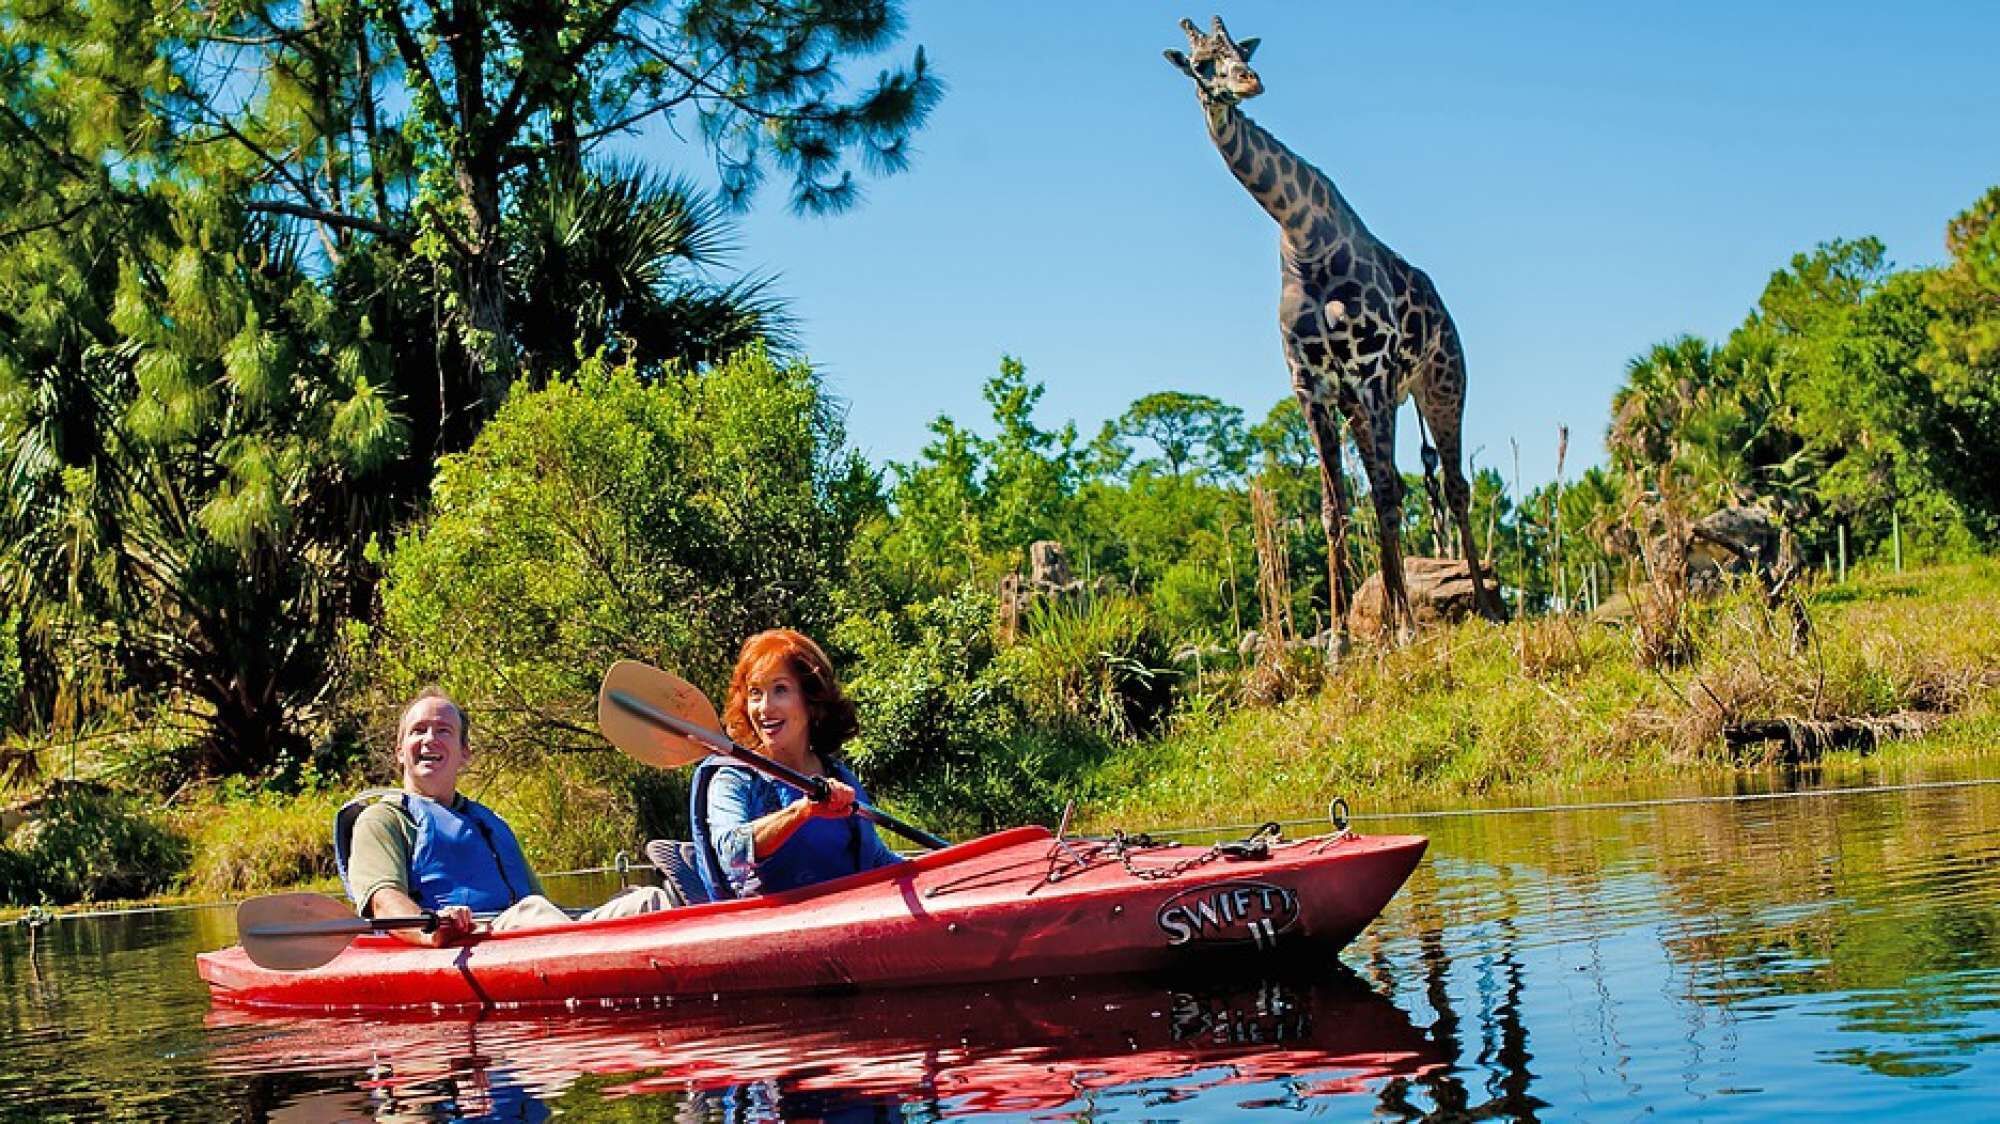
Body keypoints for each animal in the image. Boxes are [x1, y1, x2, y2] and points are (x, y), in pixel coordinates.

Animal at [1165, 16, 1502, 636]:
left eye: (1239, 51)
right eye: (1201, 65)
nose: (1247, 82)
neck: (1303, 235)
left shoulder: (1373, 373)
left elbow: (1389, 495)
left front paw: (1405, 629)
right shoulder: (1313, 386)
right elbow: (1334, 506)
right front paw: (1343, 639)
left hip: (1442, 384)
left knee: (1453, 486)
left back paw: (1486, 609)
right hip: (1364, 406)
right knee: (1393, 486)